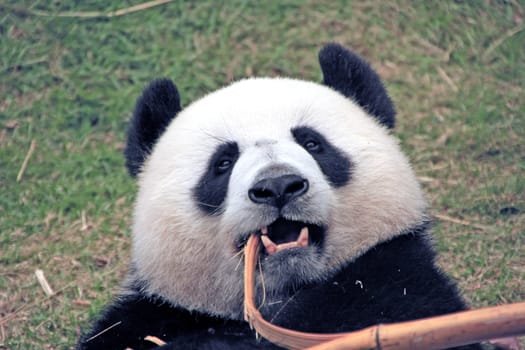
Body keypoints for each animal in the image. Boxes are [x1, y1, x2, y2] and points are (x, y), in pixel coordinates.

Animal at [78, 44, 492, 350]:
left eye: (312, 143)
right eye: (222, 163)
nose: (278, 186)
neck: (281, 297)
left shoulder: (400, 283)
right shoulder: (155, 314)